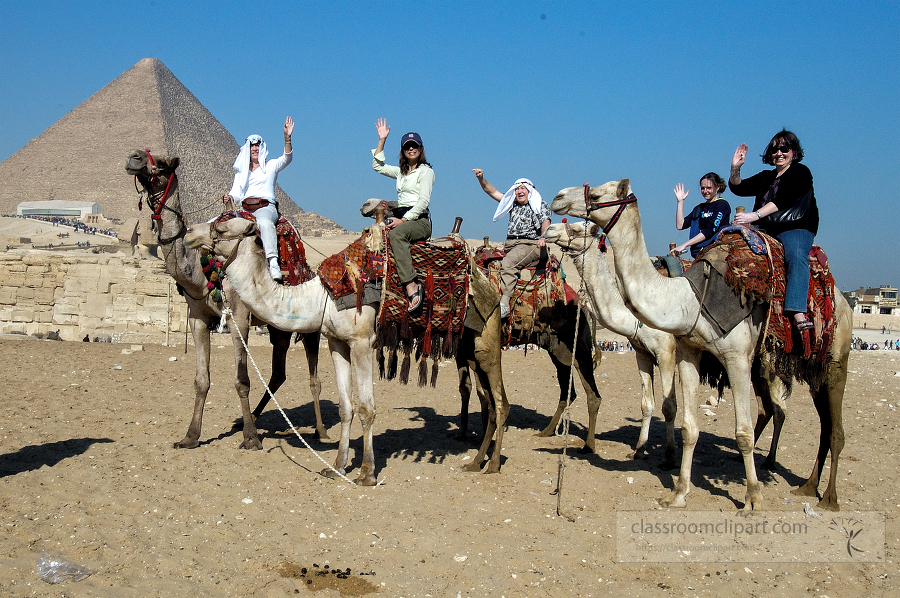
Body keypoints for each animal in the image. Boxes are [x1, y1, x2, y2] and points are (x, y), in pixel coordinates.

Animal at [123, 152, 326, 452]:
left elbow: (242, 380)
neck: (198, 273)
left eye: (162, 164)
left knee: (314, 379)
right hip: (277, 327)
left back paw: (320, 431)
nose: (133, 158)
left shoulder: (238, 318)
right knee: (278, 373)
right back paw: (247, 418)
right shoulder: (197, 319)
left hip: (308, 324)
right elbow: (201, 380)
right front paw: (190, 436)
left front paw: (251, 439)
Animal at [185, 213, 512, 480]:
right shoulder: (336, 343)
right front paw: (338, 467)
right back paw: (475, 463)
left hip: (487, 341)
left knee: (500, 402)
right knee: (488, 402)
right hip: (467, 347)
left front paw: (366, 472)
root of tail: (488, 283)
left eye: (221, 226)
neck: (321, 296)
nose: (188, 232)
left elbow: (366, 407)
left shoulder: (362, 342)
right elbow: (345, 407)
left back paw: (493, 465)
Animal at [548, 180, 852, 512]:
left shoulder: (698, 354)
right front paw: (671, 485)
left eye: (596, 196)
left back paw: (828, 496)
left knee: (827, 427)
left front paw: (750, 497)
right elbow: (668, 415)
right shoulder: (659, 353)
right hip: (774, 366)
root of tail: (842, 299)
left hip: (833, 359)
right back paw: (799, 481)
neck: (684, 298)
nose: (555, 205)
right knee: (787, 414)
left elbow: (685, 412)